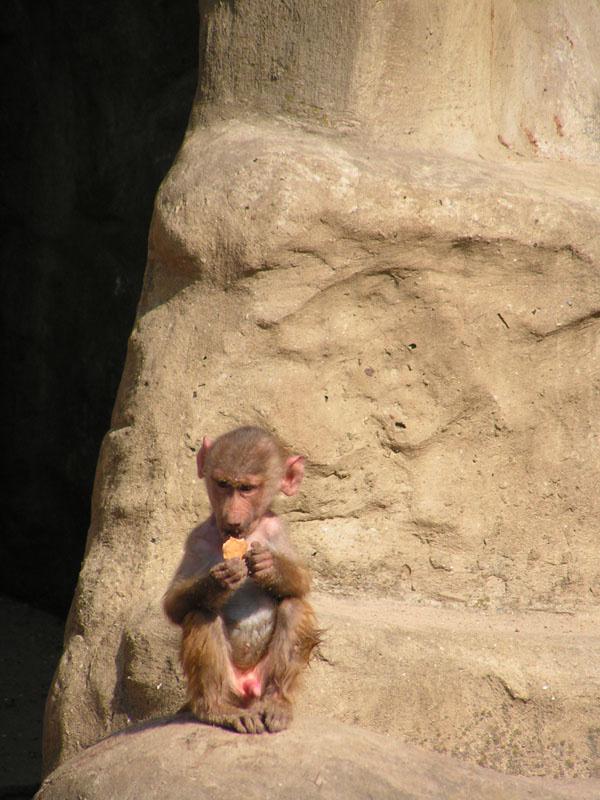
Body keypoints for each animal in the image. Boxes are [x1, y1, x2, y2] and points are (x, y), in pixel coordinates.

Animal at [163, 426, 320, 734]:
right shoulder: (196, 539)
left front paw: (268, 566)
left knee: (294, 606)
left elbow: (300, 583)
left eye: (247, 489)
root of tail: (248, 688)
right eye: (223, 484)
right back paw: (217, 709)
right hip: (229, 684)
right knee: (201, 614)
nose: (233, 517)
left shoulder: (276, 529)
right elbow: (174, 606)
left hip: (262, 680)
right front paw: (219, 581)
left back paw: (277, 703)